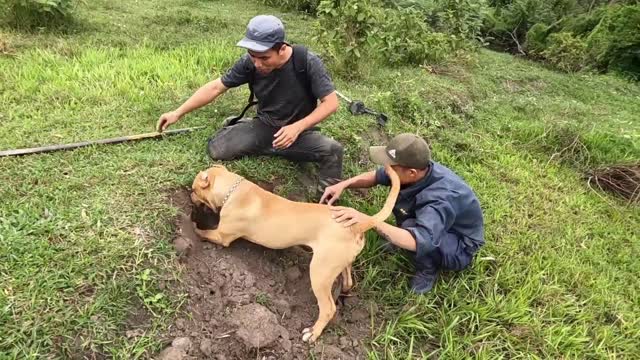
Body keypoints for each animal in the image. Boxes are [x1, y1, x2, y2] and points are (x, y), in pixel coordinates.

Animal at [190, 165, 400, 342]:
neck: (234, 191)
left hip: (319, 272)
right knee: (348, 279)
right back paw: (343, 291)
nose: (190, 196)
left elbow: (203, 232)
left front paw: (194, 226)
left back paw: (313, 333)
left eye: (193, 190)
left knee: (328, 308)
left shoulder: (221, 236)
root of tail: (357, 225)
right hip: (340, 262)